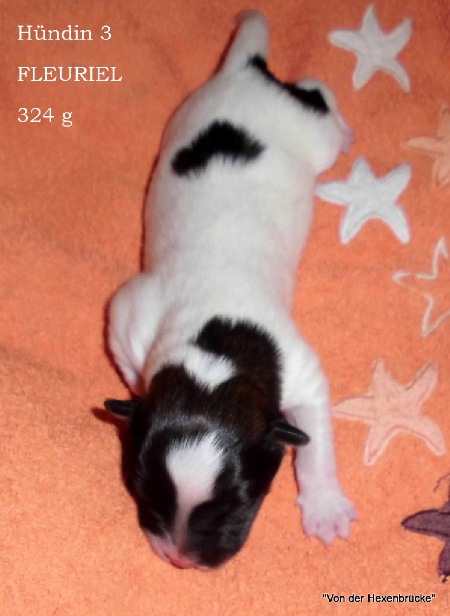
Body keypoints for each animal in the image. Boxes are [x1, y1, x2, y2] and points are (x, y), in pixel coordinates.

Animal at [105, 10, 356, 570]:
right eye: (141, 488)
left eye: (239, 504)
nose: (180, 560)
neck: (212, 349)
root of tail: (243, 71)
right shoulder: (132, 315)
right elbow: (131, 359)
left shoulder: (301, 371)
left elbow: (316, 444)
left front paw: (325, 506)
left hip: (314, 132)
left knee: (316, 96)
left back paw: (344, 124)